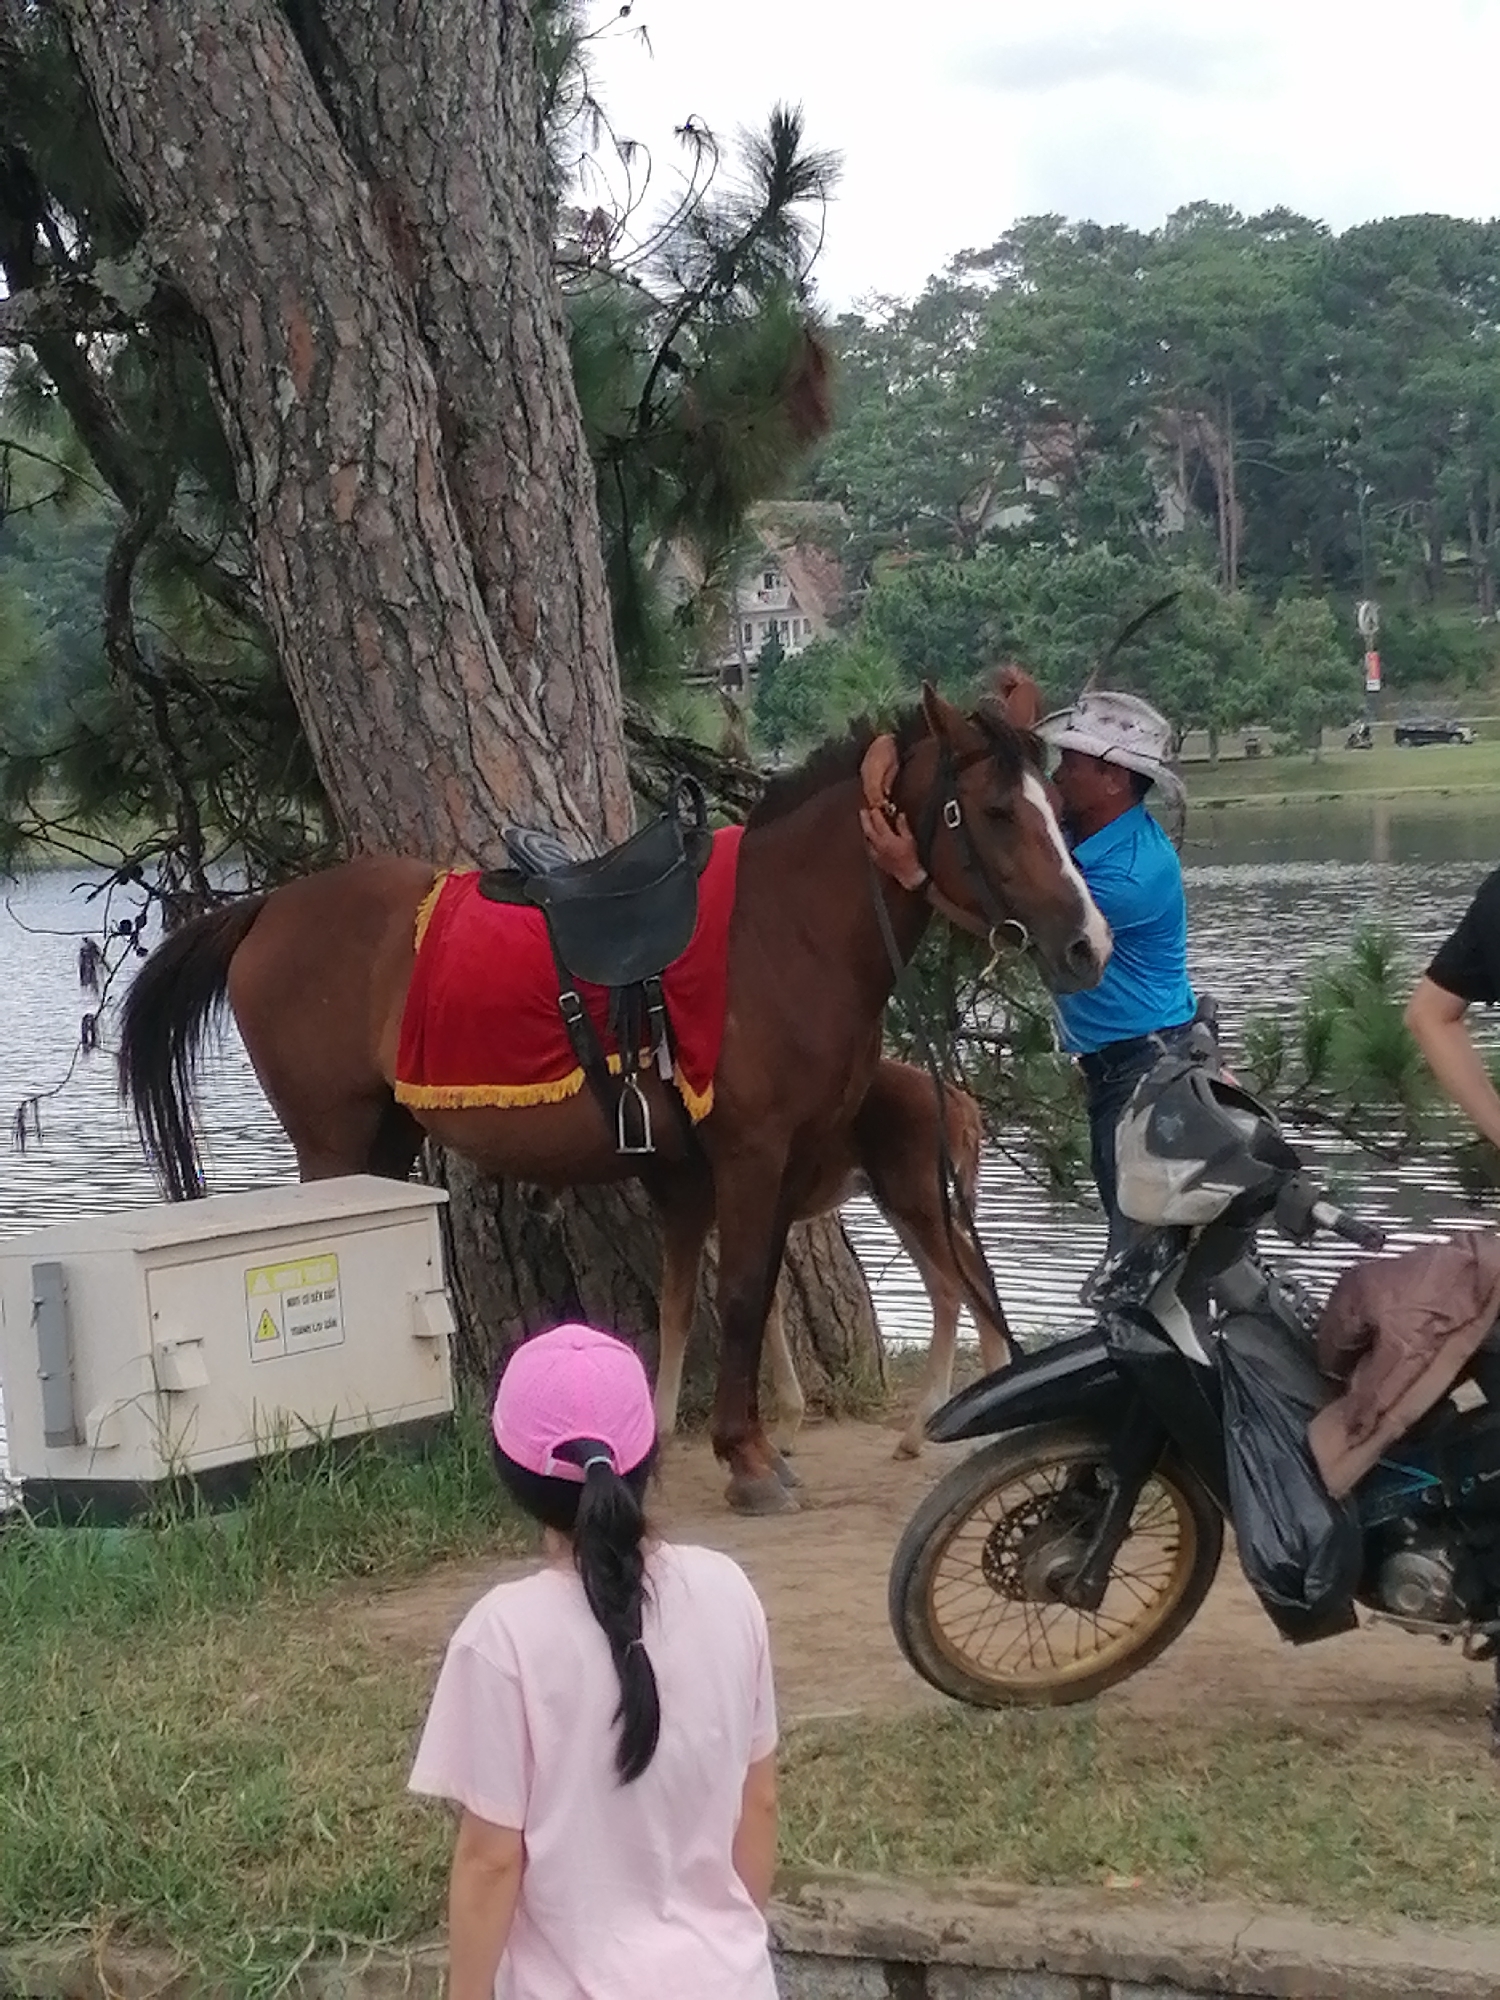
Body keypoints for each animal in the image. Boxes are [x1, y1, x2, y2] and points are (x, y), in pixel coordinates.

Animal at [651, 1058, 1011, 1462]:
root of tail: (962, 1104)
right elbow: (767, 1300)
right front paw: (786, 1428)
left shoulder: (688, 1208)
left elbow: (677, 1308)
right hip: (899, 1202)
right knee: (947, 1289)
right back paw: (915, 1436)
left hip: (917, 1197)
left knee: (975, 1278)